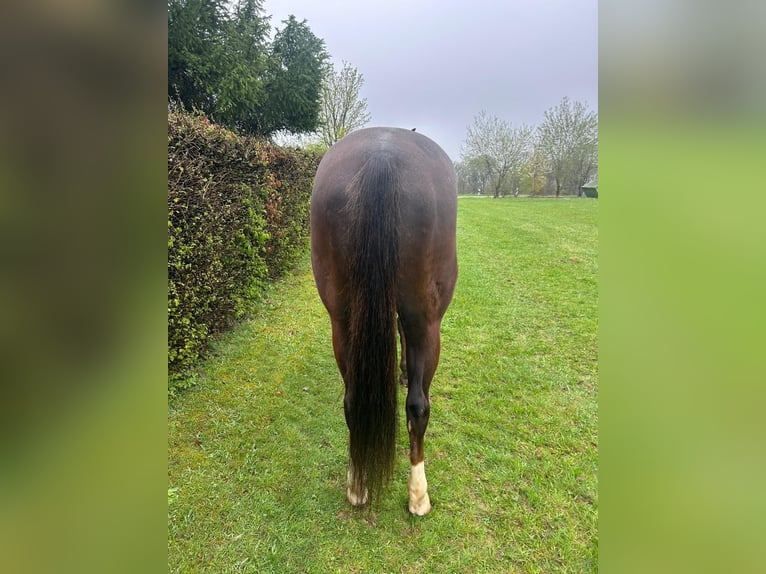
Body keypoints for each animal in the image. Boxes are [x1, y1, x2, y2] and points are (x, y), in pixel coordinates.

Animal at [310, 127, 458, 515]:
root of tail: (382, 156)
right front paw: (404, 372)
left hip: (343, 320)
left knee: (352, 400)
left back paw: (357, 486)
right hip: (427, 321)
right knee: (419, 406)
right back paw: (418, 495)